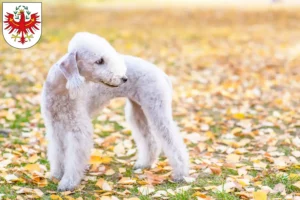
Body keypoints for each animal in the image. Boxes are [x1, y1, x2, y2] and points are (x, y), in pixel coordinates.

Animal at [41, 32, 189, 191]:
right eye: (99, 61)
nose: (124, 78)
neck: (62, 90)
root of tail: (162, 73)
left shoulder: (78, 128)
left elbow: (74, 157)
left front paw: (68, 182)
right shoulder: (55, 126)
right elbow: (57, 152)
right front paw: (57, 174)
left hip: (157, 108)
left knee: (172, 140)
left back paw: (181, 174)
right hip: (137, 111)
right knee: (150, 140)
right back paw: (144, 164)